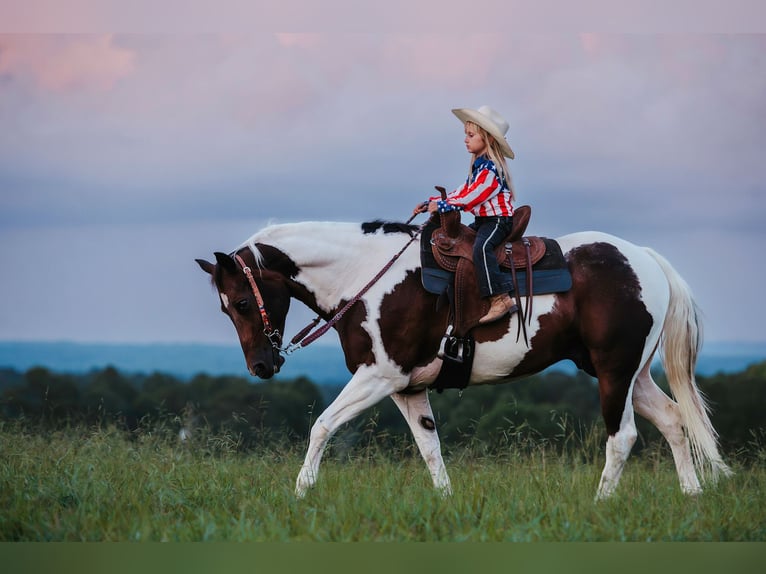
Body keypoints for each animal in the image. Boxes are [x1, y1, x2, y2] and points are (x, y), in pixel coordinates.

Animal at [196, 217, 732, 500]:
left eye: (240, 302)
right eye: (224, 307)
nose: (262, 367)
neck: (366, 279)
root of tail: (644, 258)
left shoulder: (379, 377)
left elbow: (322, 425)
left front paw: (300, 492)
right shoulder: (407, 389)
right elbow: (430, 449)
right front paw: (446, 503)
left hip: (613, 373)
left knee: (622, 438)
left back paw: (601, 503)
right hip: (629, 374)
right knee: (673, 420)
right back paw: (692, 495)